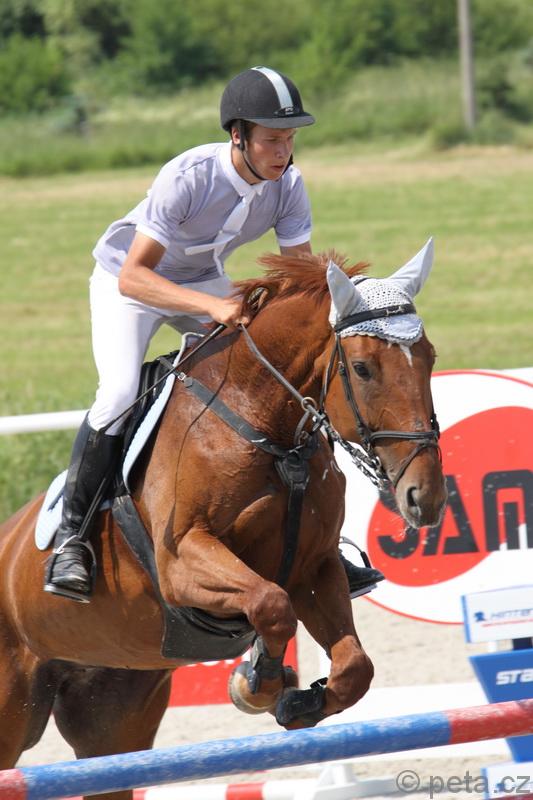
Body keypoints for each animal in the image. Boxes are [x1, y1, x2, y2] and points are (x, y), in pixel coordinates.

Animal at [0, 241, 447, 799]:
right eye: (363, 368)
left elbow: (352, 668)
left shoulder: (315, 566)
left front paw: (297, 700)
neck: (264, 424)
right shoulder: (182, 562)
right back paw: (71, 566)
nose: (425, 497)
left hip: (112, 715)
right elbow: (270, 604)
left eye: (430, 358)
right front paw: (255, 683)